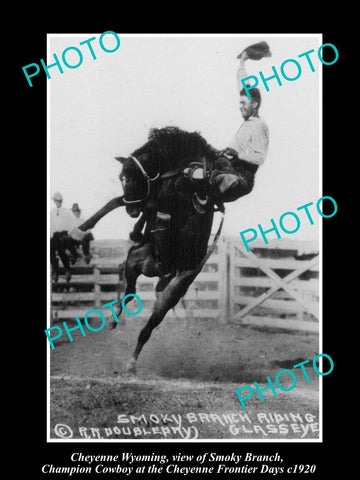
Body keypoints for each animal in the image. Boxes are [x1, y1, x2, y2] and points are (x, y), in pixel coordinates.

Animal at [69, 125, 231, 374]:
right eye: (121, 178)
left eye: (129, 177)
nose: (132, 211)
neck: (181, 170)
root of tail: (160, 272)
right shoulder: (150, 200)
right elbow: (116, 202)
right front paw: (80, 230)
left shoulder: (165, 201)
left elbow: (147, 205)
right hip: (134, 262)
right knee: (130, 291)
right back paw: (114, 318)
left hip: (171, 293)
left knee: (148, 327)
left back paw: (131, 362)